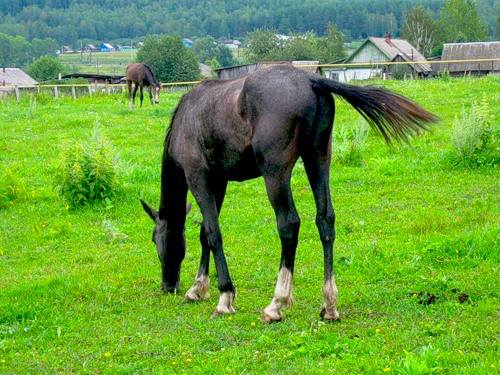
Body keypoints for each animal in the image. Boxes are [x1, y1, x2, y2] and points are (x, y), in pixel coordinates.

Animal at [141, 64, 438, 324]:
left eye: (155, 240)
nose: (168, 285)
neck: (187, 117)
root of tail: (310, 80)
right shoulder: (219, 181)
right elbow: (205, 233)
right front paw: (198, 288)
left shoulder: (199, 178)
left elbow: (213, 234)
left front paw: (224, 297)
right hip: (318, 160)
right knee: (325, 220)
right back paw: (329, 305)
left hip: (276, 174)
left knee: (289, 225)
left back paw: (277, 303)